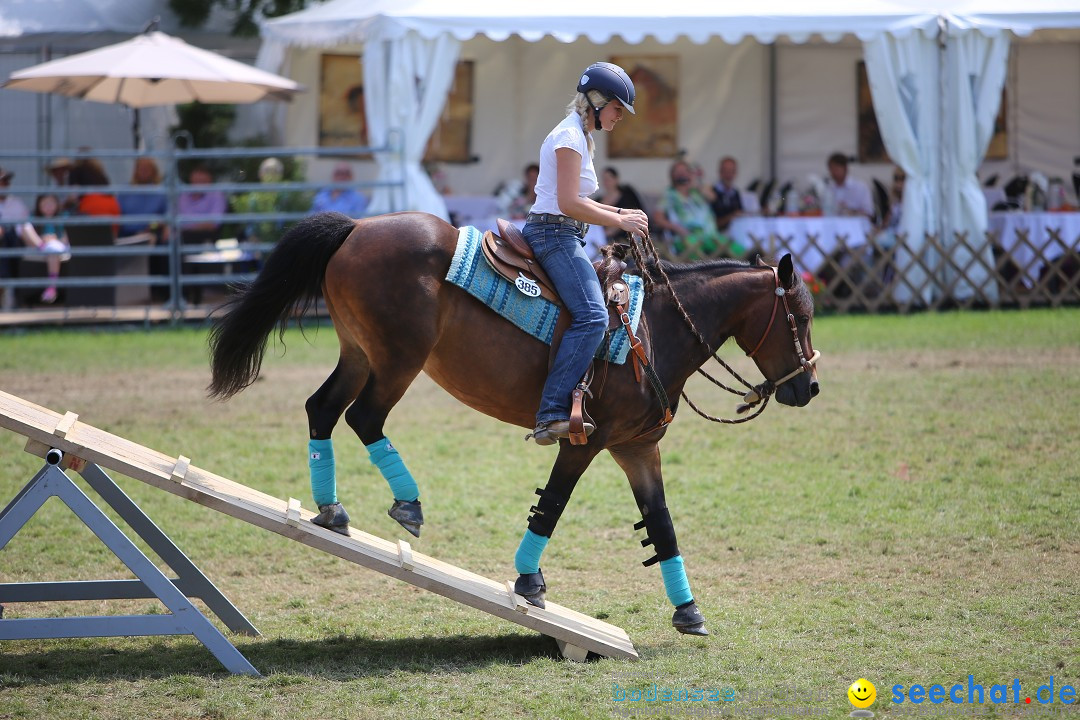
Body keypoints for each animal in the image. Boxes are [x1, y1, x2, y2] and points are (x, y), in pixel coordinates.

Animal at [208, 212, 816, 634]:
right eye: (800, 316)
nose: (808, 387)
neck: (652, 330)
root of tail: (359, 227)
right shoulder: (584, 441)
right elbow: (551, 507)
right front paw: (529, 582)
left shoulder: (638, 448)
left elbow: (661, 525)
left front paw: (689, 612)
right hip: (399, 359)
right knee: (363, 417)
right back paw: (408, 503)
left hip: (358, 353)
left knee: (322, 409)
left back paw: (331, 509)